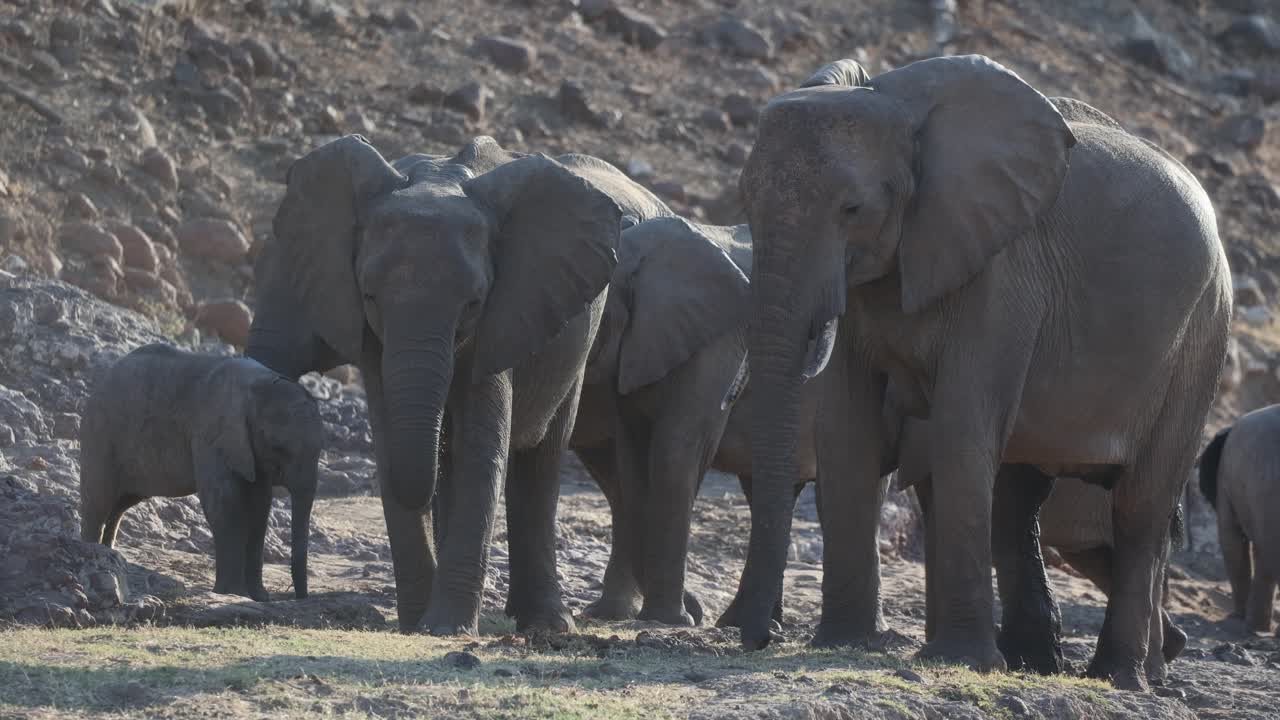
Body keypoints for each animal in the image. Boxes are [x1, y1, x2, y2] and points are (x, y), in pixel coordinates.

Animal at [79, 343, 321, 601]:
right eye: (278, 447)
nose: (299, 597)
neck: (260, 383)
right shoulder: (210, 435)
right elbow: (225, 503)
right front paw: (234, 593)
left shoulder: (252, 452)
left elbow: (259, 506)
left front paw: (258, 597)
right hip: (100, 434)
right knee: (98, 502)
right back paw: (94, 556)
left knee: (118, 506)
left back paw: (110, 557)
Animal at [245, 133, 673, 636]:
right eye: (370, 296)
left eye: (473, 303)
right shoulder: (367, 332)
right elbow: (392, 443)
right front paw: (417, 625)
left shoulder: (506, 312)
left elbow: (478, 446)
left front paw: (444, 628)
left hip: (575, 349)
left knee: (541, 458)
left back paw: (546, 624)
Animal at [733, 54, 1231, 691]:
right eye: (745, 203)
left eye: (853, 210)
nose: (759, 639)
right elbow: (848, 432)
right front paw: (844, 643)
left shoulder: (1003, 270)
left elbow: (960, 428)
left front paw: (957, 661)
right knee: (1019, 501)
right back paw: (1041, 663)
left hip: (1202, 336)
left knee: (1140, 505)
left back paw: (1117, 677)